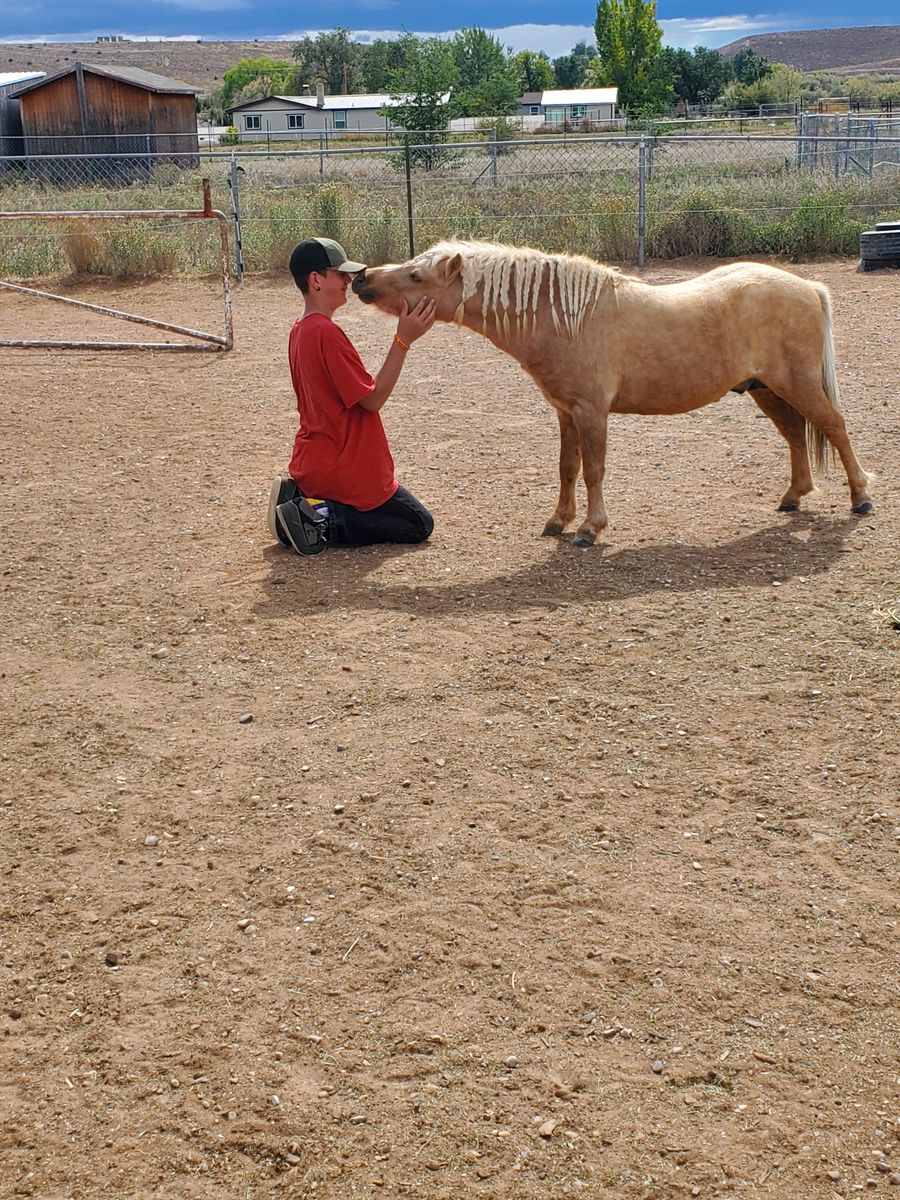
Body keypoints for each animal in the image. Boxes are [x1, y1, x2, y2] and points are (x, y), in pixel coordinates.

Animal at [352, 240, 873, 547]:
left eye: (417, 277)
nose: (360, 278)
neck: (564, 316)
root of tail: (808, 286)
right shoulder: (565, 412)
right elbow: (567, 469)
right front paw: (558, 521)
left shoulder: (592, 412)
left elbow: (594, 471)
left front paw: (589, 528)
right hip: (767, 389)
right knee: (796, 434)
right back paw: (794, 496)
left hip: (797, 384)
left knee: (835, 427)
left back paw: (861, 497)